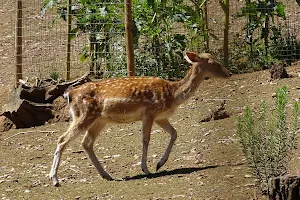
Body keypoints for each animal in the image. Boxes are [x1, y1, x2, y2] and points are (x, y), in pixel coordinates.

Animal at [50, 51, 231, 186]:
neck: (173, 95)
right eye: (212, 62)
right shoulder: (149, 112)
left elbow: (174, 133)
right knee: (62, 139)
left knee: (86, 143)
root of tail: (70, 94)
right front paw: (146, 169)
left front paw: (159, 164)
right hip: (83, 115)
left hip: (99, 120)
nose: (229, 73)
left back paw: (107, 175)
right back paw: (55, 179)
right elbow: (145, 139)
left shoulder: (160, 117)